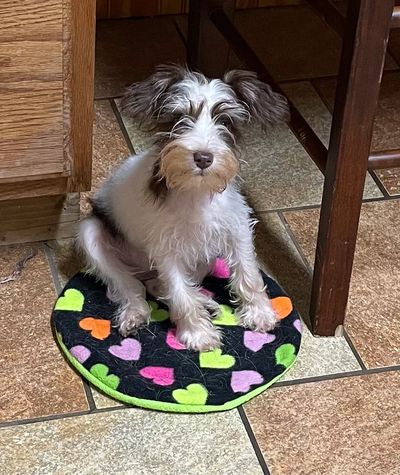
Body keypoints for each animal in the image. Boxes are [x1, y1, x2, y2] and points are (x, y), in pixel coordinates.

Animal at [79, 65, 290, 352]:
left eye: (225, 121)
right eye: (179, 117)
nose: (203, 157)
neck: (195, 191)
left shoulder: (236, 228)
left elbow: (249, 273)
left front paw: (260, 313)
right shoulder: (166, 250)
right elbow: (180, 294)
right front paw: (198, 334)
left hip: (204, 256)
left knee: (157, 285)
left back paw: (206, 302)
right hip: (91, 234)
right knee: (131, 285)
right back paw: (135, 313)